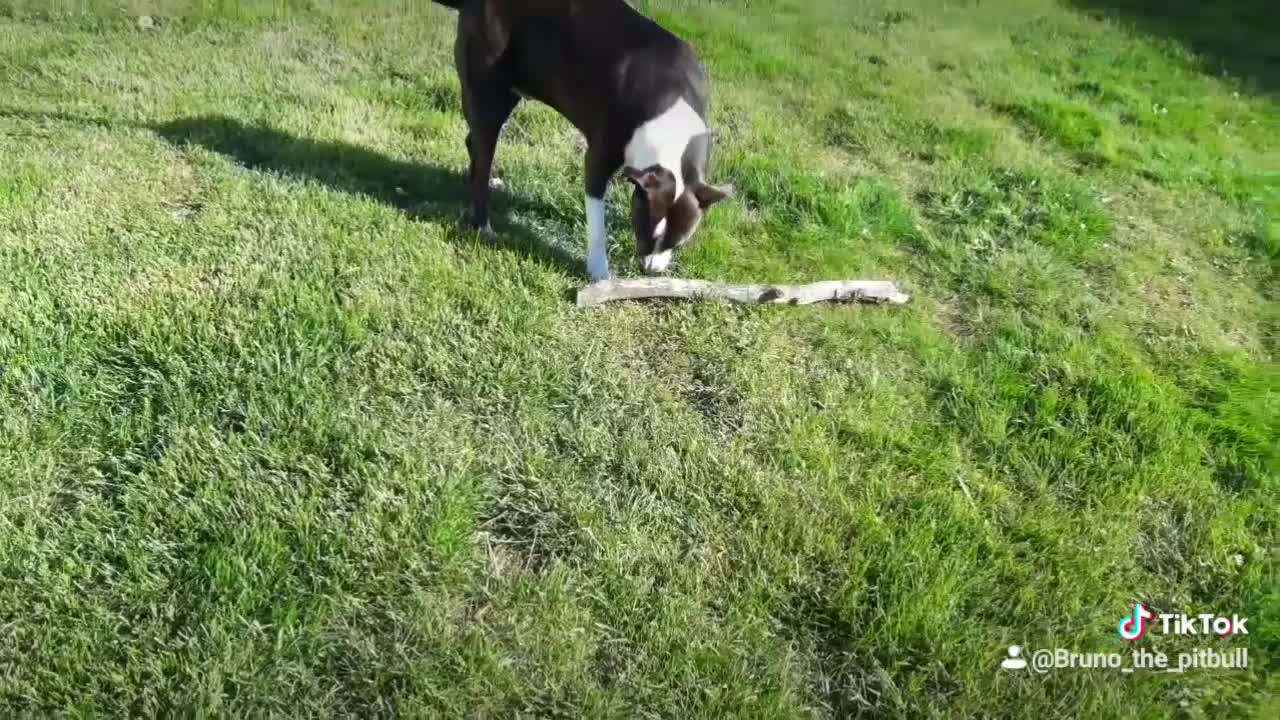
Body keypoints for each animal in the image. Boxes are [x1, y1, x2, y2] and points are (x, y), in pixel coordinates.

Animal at [430, 0, 732, 279]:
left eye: (678, 243)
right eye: (645, 230)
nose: (650, 271)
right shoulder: (598, 160)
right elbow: (597, 222)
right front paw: (599, 272)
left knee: (475, 142)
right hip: (489, 90)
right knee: (483, 148)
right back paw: (483, 223)